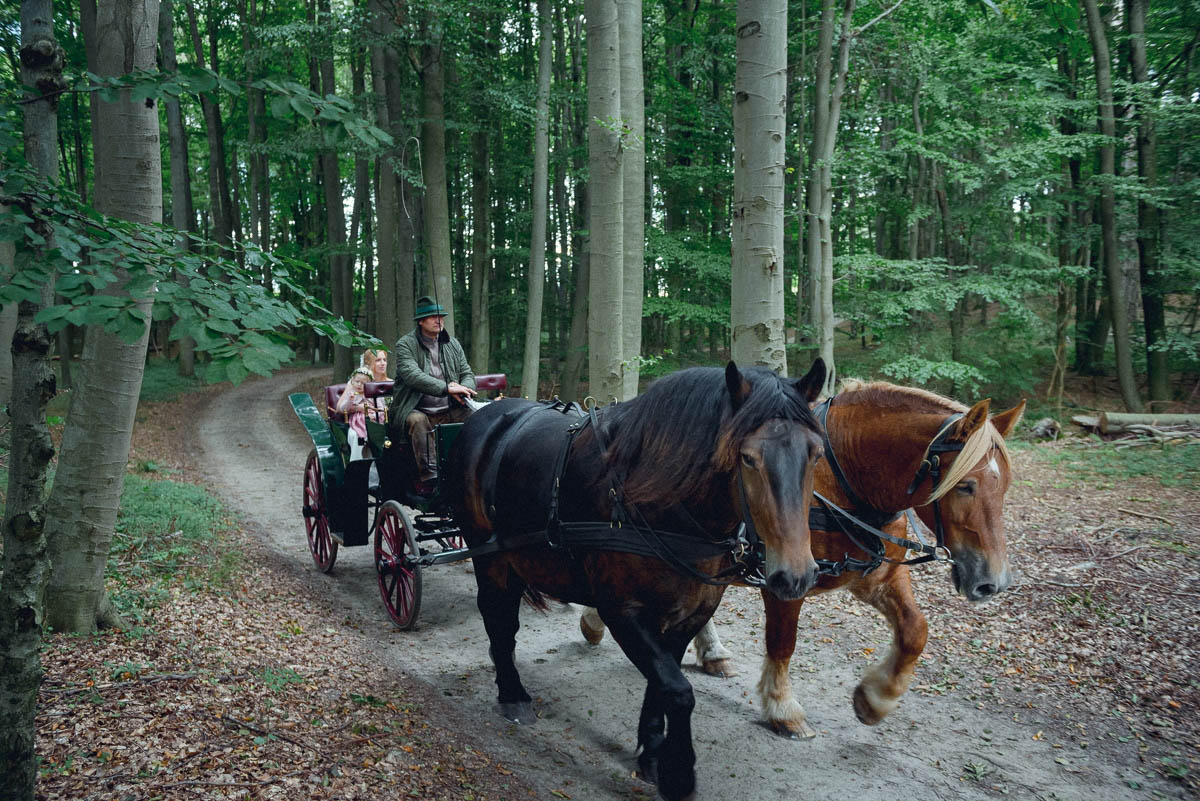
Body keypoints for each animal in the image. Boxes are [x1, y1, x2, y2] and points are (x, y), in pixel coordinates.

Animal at [446, 362, 830, 801]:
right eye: (748, 458)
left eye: (816, 453)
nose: (797, 574)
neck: (656, 497)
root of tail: (487, 413)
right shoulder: (622, 611)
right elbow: (678, 691)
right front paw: (679, 772)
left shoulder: (690, 614)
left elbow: (661, 682)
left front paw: (652, 752)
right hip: (488, 554)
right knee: (499, 620)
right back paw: (512, 693)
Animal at [578, 381, 1022, 738]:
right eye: (965, 486)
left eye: (1005, 486)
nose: (992, 582)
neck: (843, 481)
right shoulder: (785, 581)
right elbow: (783, 642)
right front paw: (782, 708)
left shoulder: (876, 579)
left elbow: (915, 631)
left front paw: (876, 698)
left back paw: (711, 651)